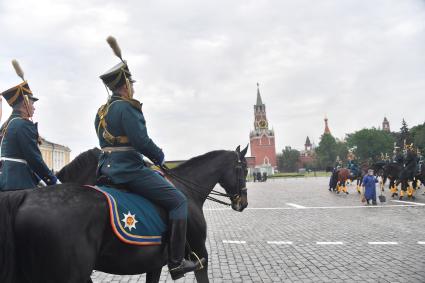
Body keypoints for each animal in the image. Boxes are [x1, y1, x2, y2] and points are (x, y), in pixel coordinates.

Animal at [0, 146, 247, 283]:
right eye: (244, 169)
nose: (243, 203)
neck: (188, 190)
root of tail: (26, 196)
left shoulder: (154, 264)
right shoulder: (199, 254)